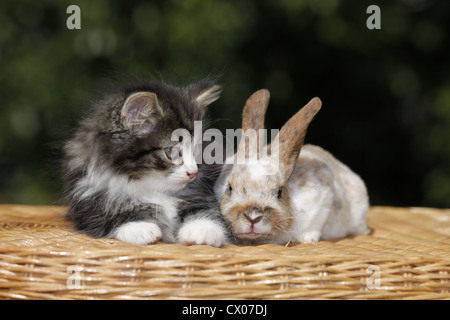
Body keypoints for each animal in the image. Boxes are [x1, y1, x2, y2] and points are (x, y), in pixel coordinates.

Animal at [62, 79, 229, 246]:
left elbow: (205, 208)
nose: (193, 172)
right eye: (171, 151)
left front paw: (204, 229)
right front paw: (140, 227)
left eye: (195, 150)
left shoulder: (201, 192)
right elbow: (111, 214)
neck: (153, 188)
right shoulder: (87, 199)